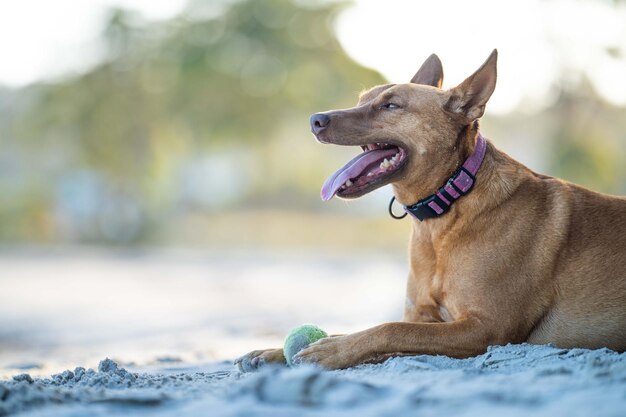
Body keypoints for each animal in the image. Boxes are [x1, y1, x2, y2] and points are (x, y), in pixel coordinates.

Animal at [234, 49, 624, 370]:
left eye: (391, 105)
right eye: (362, 99)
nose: (315, 119)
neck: (444, 213)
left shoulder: (487, 328)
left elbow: (389, 328)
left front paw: (329, 350)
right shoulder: (426, 318)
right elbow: (379, 330)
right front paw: (275, 350)